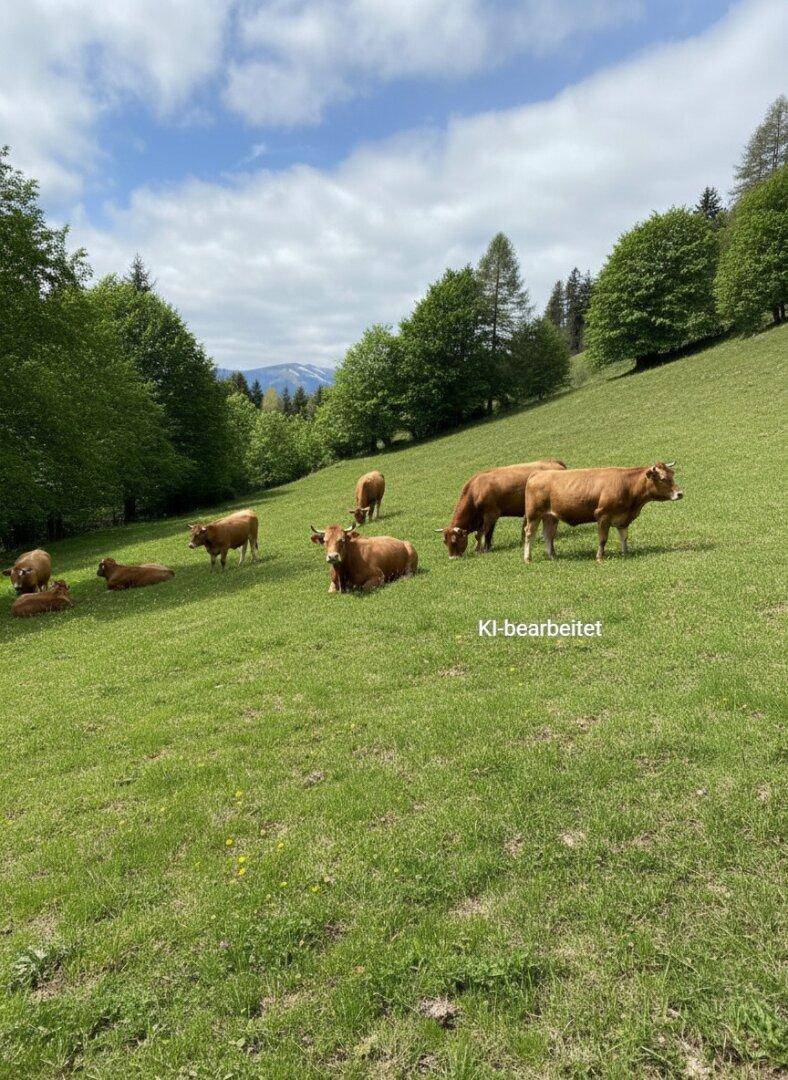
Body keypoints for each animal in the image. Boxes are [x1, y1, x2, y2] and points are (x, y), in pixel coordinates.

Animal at [436, 460, 567, 557]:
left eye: (454, 541)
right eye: (445, 542)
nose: (453, 558)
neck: (475, 491)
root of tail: (554, 461)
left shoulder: (491, 514)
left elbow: (481, 533)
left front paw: (479, 550)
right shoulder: (487, 517)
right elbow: (488, 533)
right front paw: (487, 547)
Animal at [523, 462, 683, 564]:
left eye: (672, 474)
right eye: (662, 478)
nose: (680, 493)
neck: (628, 485)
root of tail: (537, 473)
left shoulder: (623, 518)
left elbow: (624, 537)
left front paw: (625, 553)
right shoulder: (603, 515)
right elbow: (602, 539)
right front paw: (599, 558)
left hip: (550, 516)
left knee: (548, 535)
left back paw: (552, 557)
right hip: (533, 515)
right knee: (529, 534)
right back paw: (527, 559)